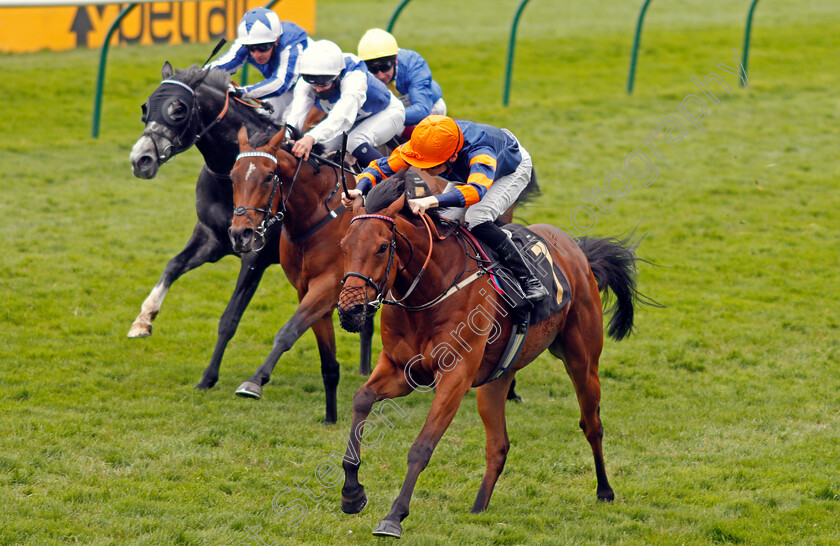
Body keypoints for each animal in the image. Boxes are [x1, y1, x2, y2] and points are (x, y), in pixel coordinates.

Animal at [128, 62, 374, 392]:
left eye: (177, 109)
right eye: (146, 108)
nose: (140, 159)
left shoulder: (255, 256)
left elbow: (230, 318)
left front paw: (209, 377)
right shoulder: (211, 237)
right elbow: (172, 266)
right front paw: (143, 320)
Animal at [338, 178, 652, 536]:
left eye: (381, 247)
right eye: (344, 245)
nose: (350, 311)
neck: (432, 290)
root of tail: (575, 250)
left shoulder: (455, 377)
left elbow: (422, 446)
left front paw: (393, 516)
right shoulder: (401, 369)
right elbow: (362, 399)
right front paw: (352, 493)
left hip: (583, 361)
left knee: (592, 425)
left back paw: (605, 490)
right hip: (496, 380)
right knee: (499, 446)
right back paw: (479, 507)